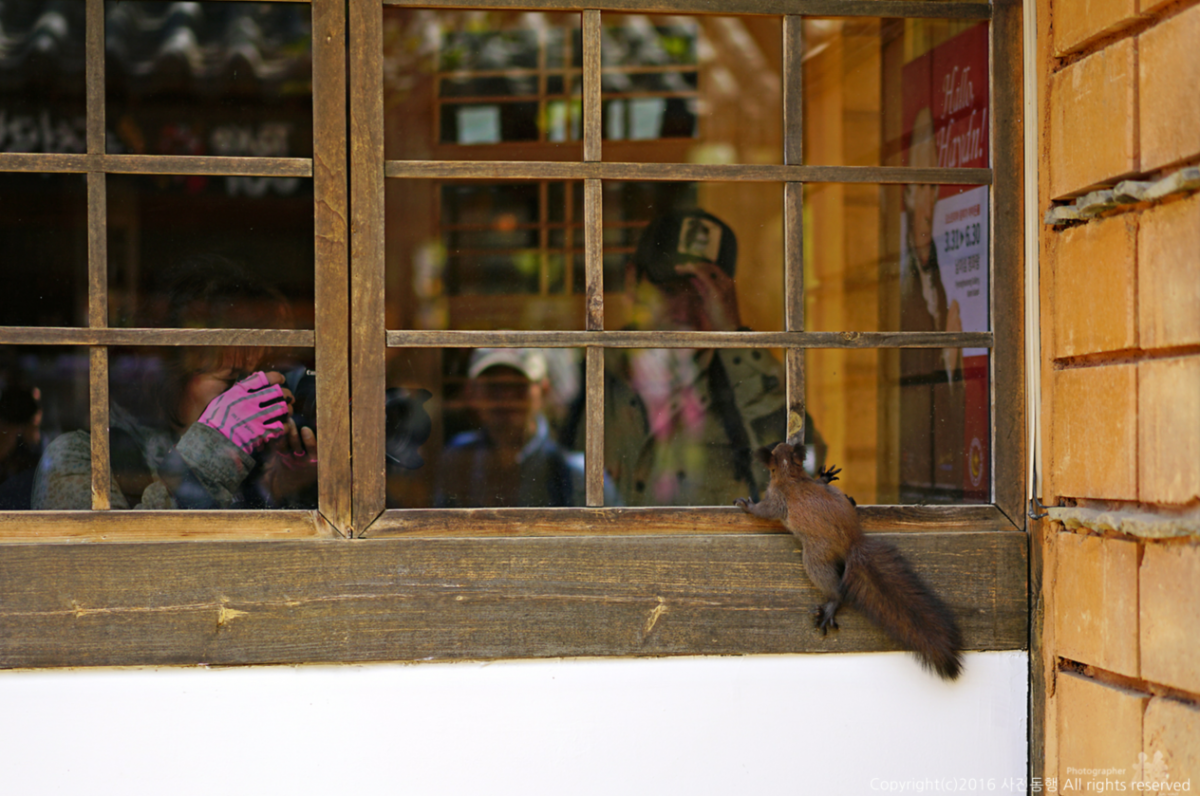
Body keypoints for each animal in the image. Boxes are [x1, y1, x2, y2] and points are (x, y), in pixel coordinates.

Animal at [729, 441, 964, 677]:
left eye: (774, 456)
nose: (780, 443)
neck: (792, 475)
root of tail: (852, 544)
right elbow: (820, 483)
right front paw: (825, 477)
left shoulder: (777, 499)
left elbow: (764, 511)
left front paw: (746, 505)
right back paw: (851, 500)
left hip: (815, 559)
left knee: (835, 588)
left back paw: (831, 606)